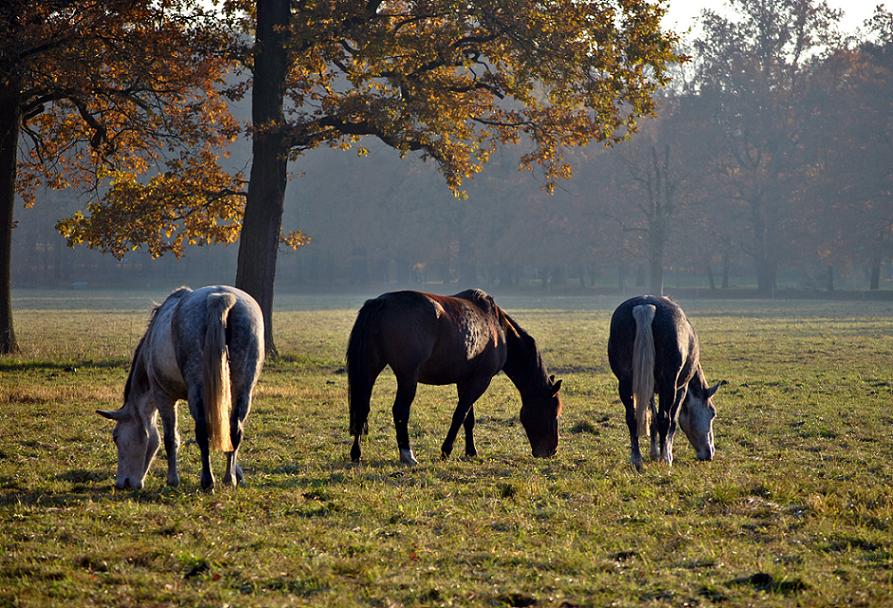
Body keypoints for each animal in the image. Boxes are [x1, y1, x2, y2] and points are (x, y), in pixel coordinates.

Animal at [97, 285, 264, 491]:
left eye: (116, 437)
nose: (123, 483)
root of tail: (221, 298)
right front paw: (237, 472)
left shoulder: (164, 397)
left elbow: (170, 439)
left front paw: (172, 479)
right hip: (242, 388)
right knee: (235, 429)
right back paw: (228, 478)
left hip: (197, 391)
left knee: (202, 431)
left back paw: (208, 481)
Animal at [346, 289, 563, 465]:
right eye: (553, 413)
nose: (551, 451)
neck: (497, 328)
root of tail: (380, 303)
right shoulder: (480, 380)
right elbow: (460, 414)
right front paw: (446, 450)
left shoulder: (465, 380)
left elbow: (469, 418)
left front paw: (471, 451)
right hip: (407, 377)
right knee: (400, 410)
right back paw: (407, 455)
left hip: (369, 370)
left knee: (362, 408)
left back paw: (356, 453)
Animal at [607, 295, 724, 470]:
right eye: (712, 413)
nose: (709, 453)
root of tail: (645, 305)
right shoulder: (680, 388)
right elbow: (671, 421)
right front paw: (666, 454)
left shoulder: (648, 388)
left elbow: (653, 418)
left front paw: (654, 452)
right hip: (669, 386)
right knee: (665, 418)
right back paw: (664, 459)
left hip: (626, 383)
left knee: (632, 418)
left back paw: (637, 459)